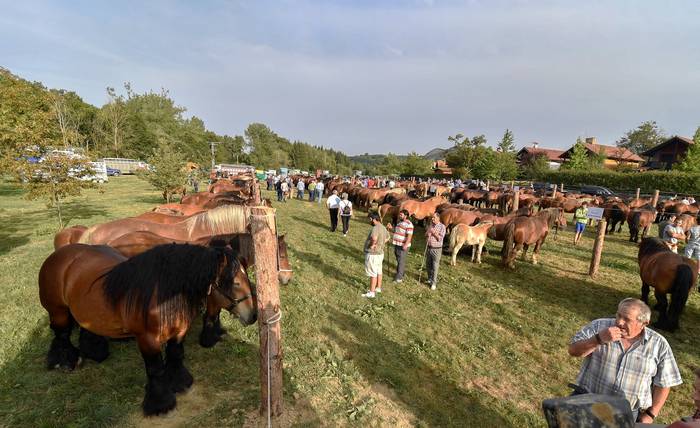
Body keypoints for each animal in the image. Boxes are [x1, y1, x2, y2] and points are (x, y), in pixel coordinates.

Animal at [39, 244, 258, 414]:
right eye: (235, 283)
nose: (253, 315)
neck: (162, 296)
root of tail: (58, 255)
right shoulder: (147, 340)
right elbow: (155, 369)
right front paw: (161, 404)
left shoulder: (178, 333)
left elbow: (175, 355)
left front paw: (180, 383)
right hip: (58, 311)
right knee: (61, 334)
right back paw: (64, 362)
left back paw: (93, 352)